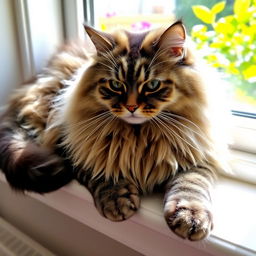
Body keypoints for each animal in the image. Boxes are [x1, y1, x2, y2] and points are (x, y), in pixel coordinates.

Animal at [0, 21, 226, 241]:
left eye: (152, 84)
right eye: (116, 85)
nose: (131, 107)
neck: (139, 135)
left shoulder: (196, 153)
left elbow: (190, 185)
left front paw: (191, 217)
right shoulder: (76, 146)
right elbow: (103, 171)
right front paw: (117, 199)